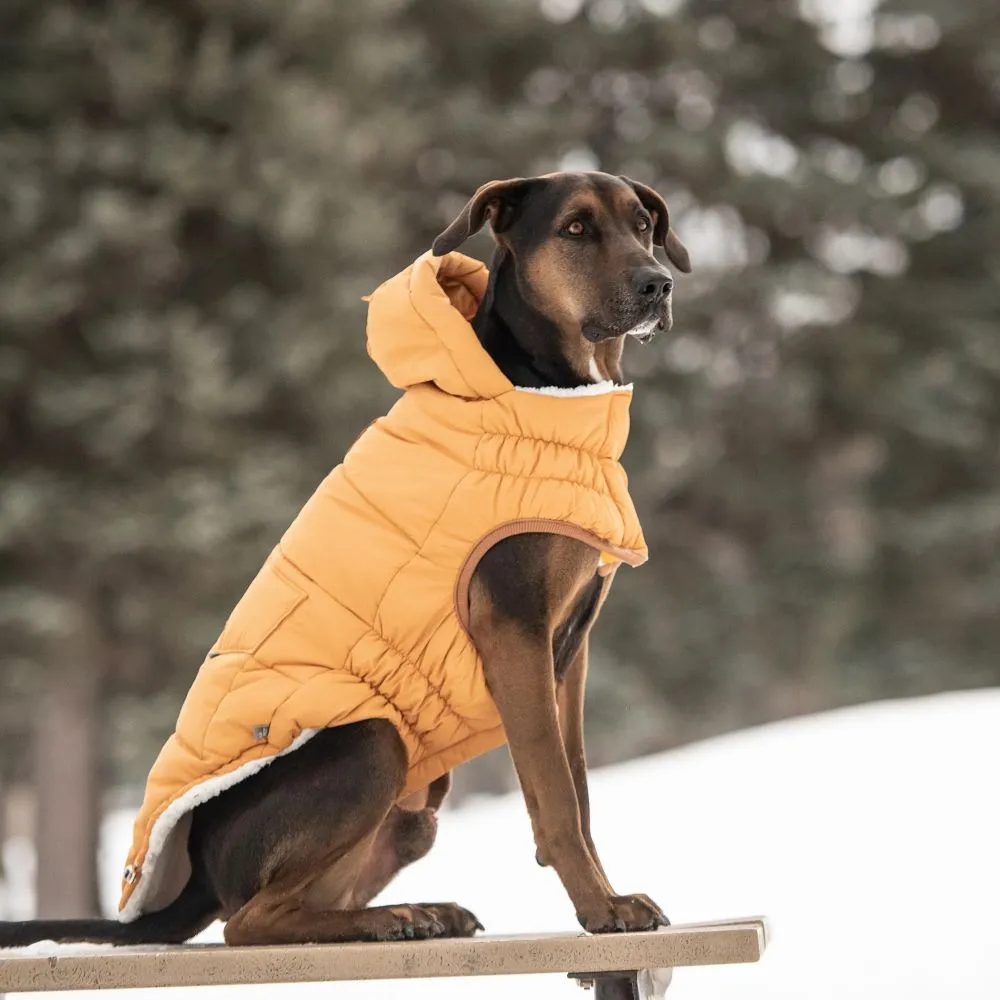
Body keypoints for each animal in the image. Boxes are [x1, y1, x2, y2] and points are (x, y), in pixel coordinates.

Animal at [0, 170, 688, 944]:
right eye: (574, 229)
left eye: (643, 225)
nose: (659, 284)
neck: (538, 391)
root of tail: (199, 873)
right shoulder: (515, 631)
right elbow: (556, 796)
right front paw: (600, 907)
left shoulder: (569, 649)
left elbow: (578, 784)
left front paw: (602, 892)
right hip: (371, 742)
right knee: (250, 921)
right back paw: (391, 919)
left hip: (415, 811)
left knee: (309, 902)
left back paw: (415, 912)